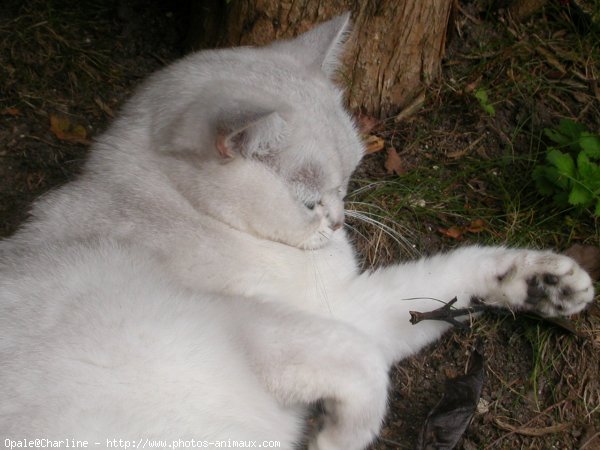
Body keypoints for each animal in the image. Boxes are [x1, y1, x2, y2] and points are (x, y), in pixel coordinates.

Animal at [0, 14, 592, 450]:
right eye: (310, 201)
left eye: (350, 179)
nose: (338, 220)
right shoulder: (268, 327)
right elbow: (368, 370)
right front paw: (332, 439)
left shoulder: (341, 308)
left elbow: (446, 279)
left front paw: (550, 284)